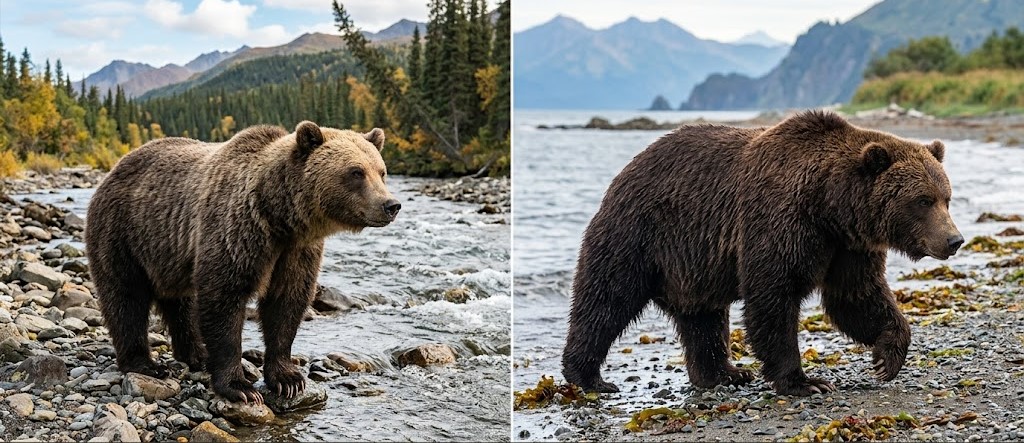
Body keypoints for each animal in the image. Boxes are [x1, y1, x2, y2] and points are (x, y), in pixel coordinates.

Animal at [85, 121, 401, 403]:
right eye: (356, 172)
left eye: (381, 172)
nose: (391, 205)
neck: (280, 218)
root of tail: (115, 167)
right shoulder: (237, 232)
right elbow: (224, 299)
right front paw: (239, 386)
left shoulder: (297, 252)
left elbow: (287, 303)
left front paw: (288, 379)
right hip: (123, 233)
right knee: (126, 298)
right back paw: (144, 364)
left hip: (169, 254)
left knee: (180, 303)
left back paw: (195, 354)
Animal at [562, 110, 963, 396]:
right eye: (922, 200)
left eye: (946, 197)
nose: (954, 240)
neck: (830, 206)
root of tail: (624, 171)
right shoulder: (780, 220)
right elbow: (773, 296)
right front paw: (805, 381)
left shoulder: (848, 247)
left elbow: (856, 297)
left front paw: (886, 358)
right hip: (639, 235)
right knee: (606, 300)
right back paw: (589, 376)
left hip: (693, 264)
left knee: (702, 317)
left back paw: (724, 373)